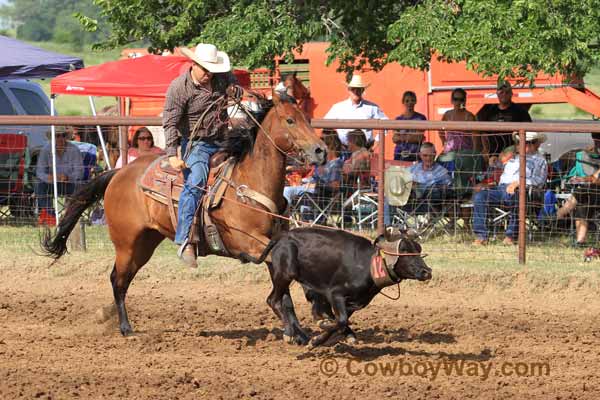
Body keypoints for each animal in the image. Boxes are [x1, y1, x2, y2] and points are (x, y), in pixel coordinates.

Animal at [41, 94, 326, 334]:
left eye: (306, 117)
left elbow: (285, 282)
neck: (248, 182)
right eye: (290, 120)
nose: (320, 150)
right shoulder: (250, 243)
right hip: (126, 242)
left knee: (123, 277)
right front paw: (312, 314)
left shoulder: (274, 244)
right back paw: (124, 327)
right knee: (117, 280)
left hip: (145, 243)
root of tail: (119, 173)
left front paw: (296, 328)